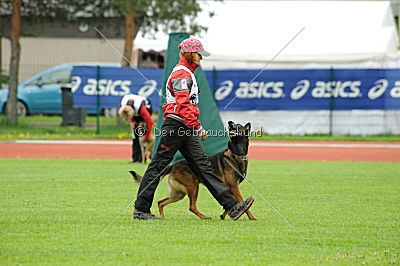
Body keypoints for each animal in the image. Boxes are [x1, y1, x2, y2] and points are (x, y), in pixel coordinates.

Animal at [130, 121, 258, 219]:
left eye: (238, 126)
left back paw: (163, 218)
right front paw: (252, 217)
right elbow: (242, 203)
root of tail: (173, 165)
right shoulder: (234, 187)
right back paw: (204, 217)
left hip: (178, 194)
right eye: (234, 125)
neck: (236, 154)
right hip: (193, 187)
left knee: (160, 202)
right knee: (191, 207)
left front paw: (226, 214)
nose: (230, 123)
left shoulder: (231, 187)